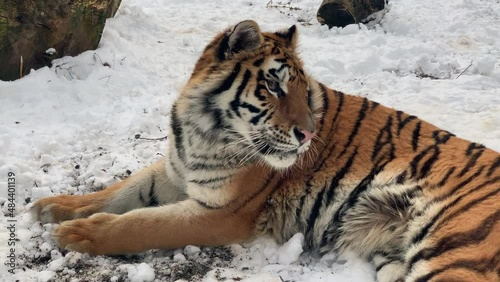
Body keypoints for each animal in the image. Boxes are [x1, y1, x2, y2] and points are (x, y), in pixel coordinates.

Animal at [32, 20, 500, 282]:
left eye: (302, 90)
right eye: (274, 86)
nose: (307, 135)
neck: (203, 131)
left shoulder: (224, 212)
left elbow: (143, 223)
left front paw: (77, 234)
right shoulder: (175, 170)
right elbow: (119, 192)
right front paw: (53, 207)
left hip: (456, 252)